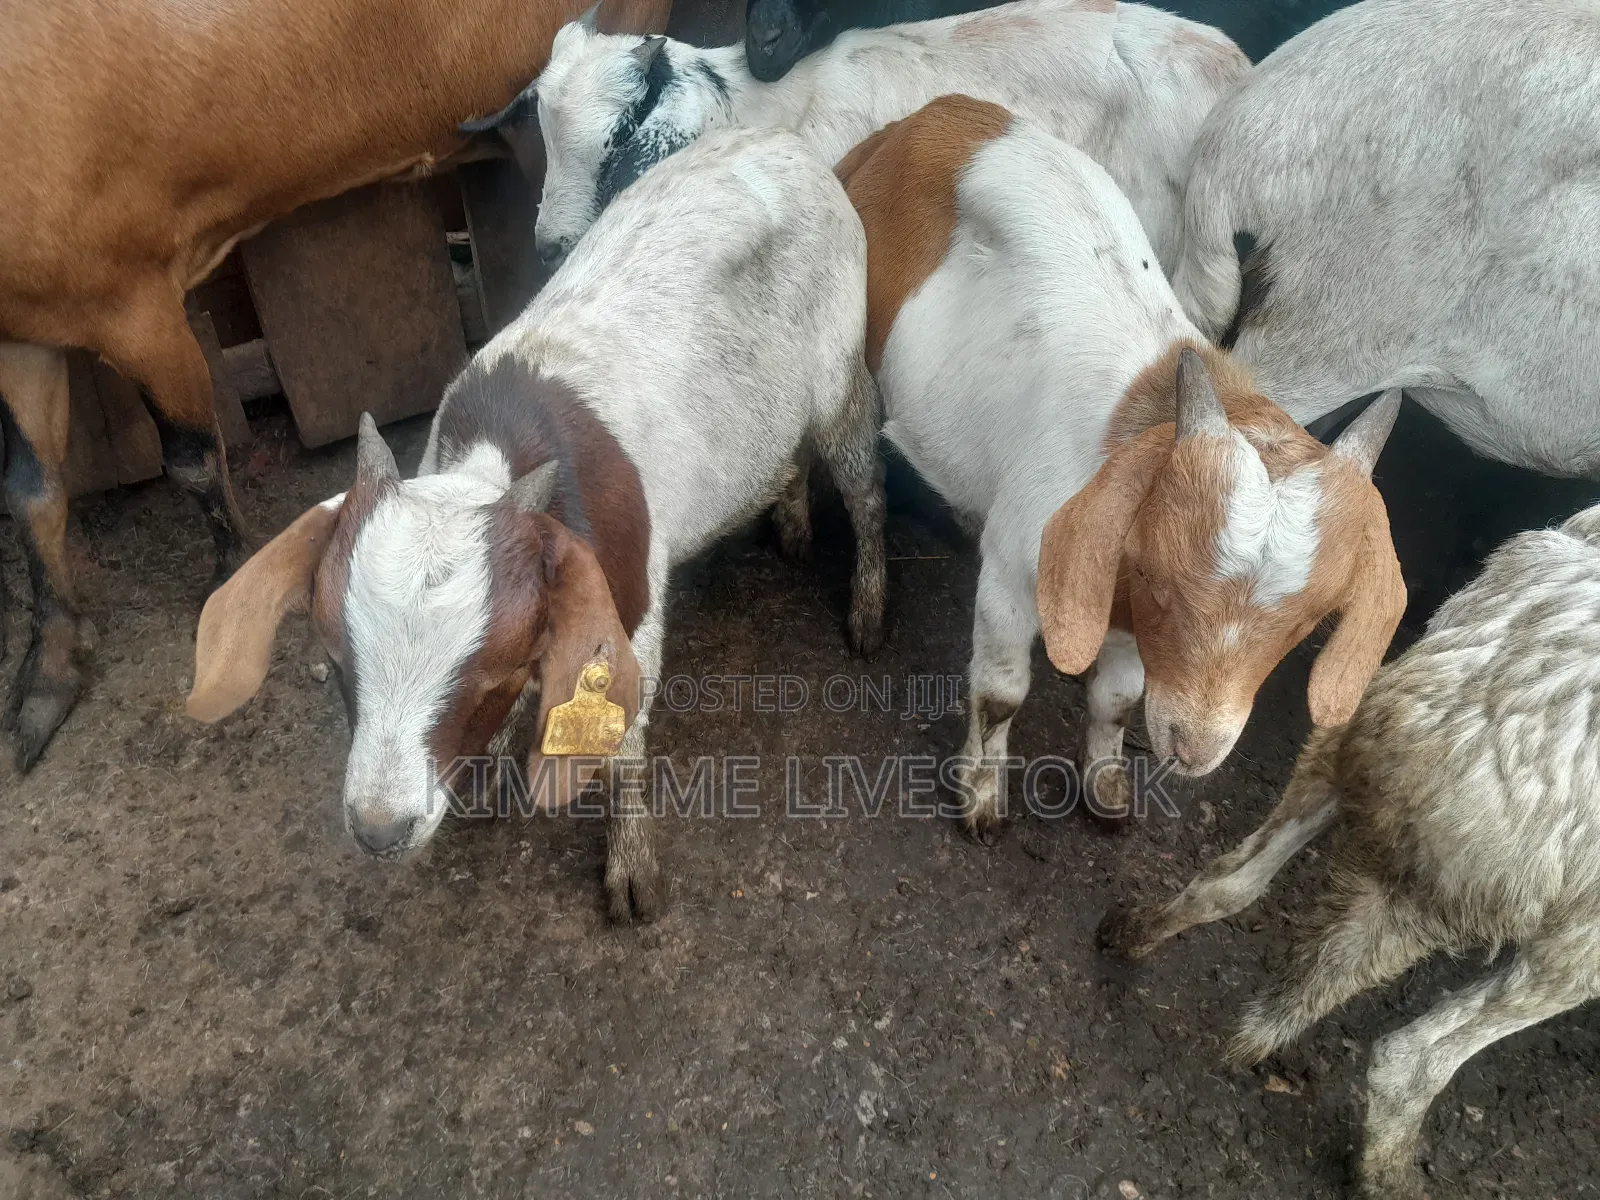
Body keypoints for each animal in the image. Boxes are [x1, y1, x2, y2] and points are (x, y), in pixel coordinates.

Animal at [0, 0, 672, 771]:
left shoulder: (132, 296)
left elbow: (191, 457)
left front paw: (234, 579)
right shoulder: (27, 327)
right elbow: (32, 490)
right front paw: (44, 684)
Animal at [184, 127, 884, 922]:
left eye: (490, 678)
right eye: (335, 664)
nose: (380, 829)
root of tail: (780, 140)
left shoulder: (630, 610)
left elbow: (623, 735)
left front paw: (631, 874)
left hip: (841, 373)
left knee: (864, 484)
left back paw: (868, 611)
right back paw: (791, 522)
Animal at [835, 95, 1405, 834]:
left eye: (1307, 623)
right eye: (1164, 583)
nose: (1193, 749)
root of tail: (933, 117)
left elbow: (1119, 700)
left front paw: (1105, 786)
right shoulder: (1015, 575)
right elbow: (1001, 694)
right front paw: (981, 798)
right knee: (862, 490)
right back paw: (866, 606)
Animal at [1098, 501, 1600, 1199]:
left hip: (1345, 753)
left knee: (1233, 882)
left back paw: (1142, 940)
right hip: (1562, 928)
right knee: (1411, 1057)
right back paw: (1385, 1175)